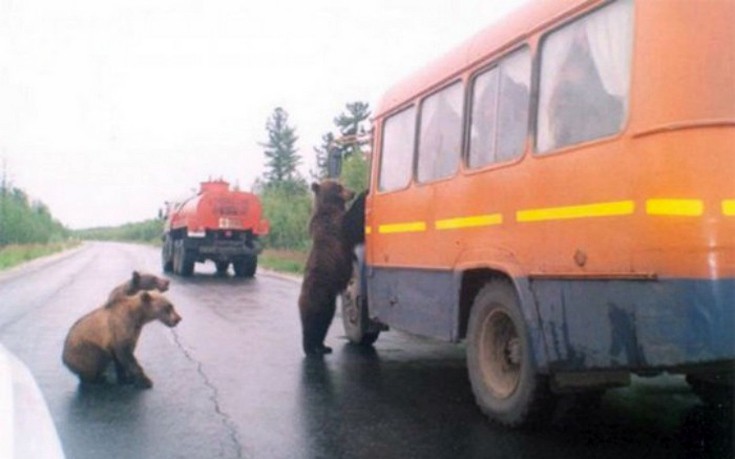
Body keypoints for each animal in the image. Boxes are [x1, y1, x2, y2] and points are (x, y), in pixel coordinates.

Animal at [300, 180, 356, 356]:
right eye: (338, 187)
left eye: (343, 184)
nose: (353, 192)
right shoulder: (337, 224)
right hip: (318, 299)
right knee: (313, 326)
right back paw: (311, 349)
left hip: (328, 305)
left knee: (323, 325)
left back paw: (323, 347)